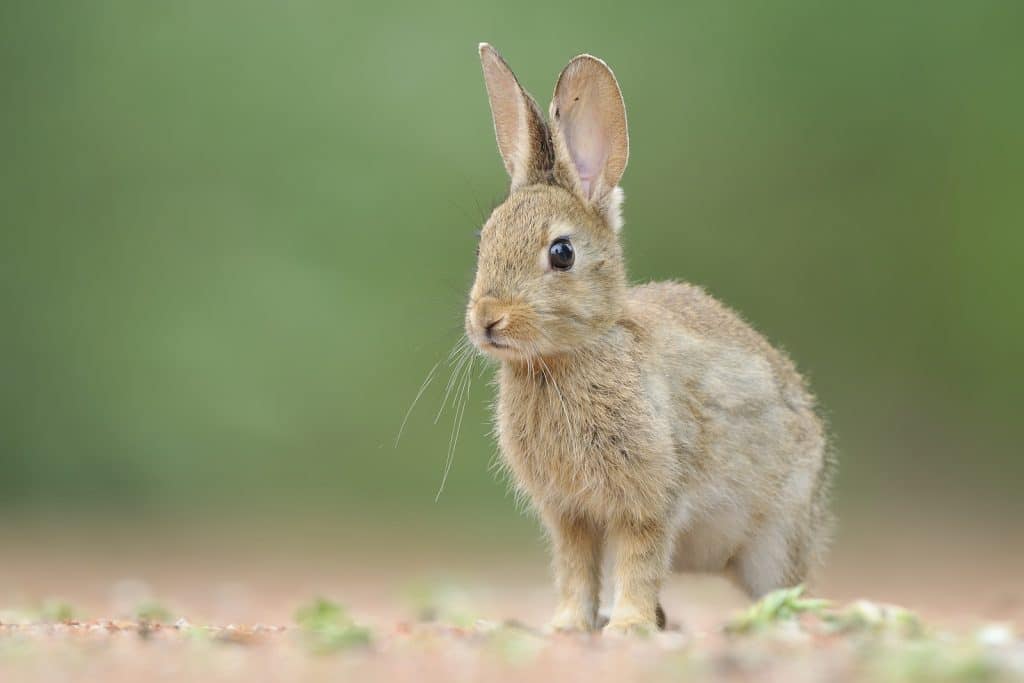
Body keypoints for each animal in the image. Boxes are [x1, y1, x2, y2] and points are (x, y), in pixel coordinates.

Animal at [468, 45, 835, 638]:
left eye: (562, 253)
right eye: (484, 242)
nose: (487, 320)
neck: (568, 357)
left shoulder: (648, 498)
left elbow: (638, 561)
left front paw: (627, 628)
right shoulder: (571, 514)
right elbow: (576, 569)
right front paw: (569, 625)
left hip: (777, 537)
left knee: (784, 584)